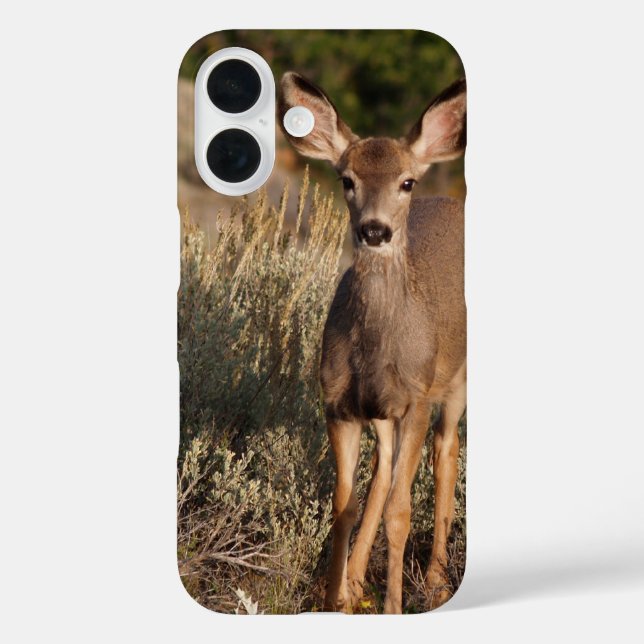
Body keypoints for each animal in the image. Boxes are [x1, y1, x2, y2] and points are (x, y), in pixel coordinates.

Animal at [279, 72, 466, 614]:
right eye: (347, 179)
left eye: (407, 182)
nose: (375, 230)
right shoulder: (338, 402)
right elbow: (344, 503)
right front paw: (332, 601)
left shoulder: (416, 399)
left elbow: (400, 512)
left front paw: (394, 607)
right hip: (382, 410)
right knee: (383, 469)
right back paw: (357, 583)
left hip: (455, 382)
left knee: (447, 452)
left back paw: (437, 581)